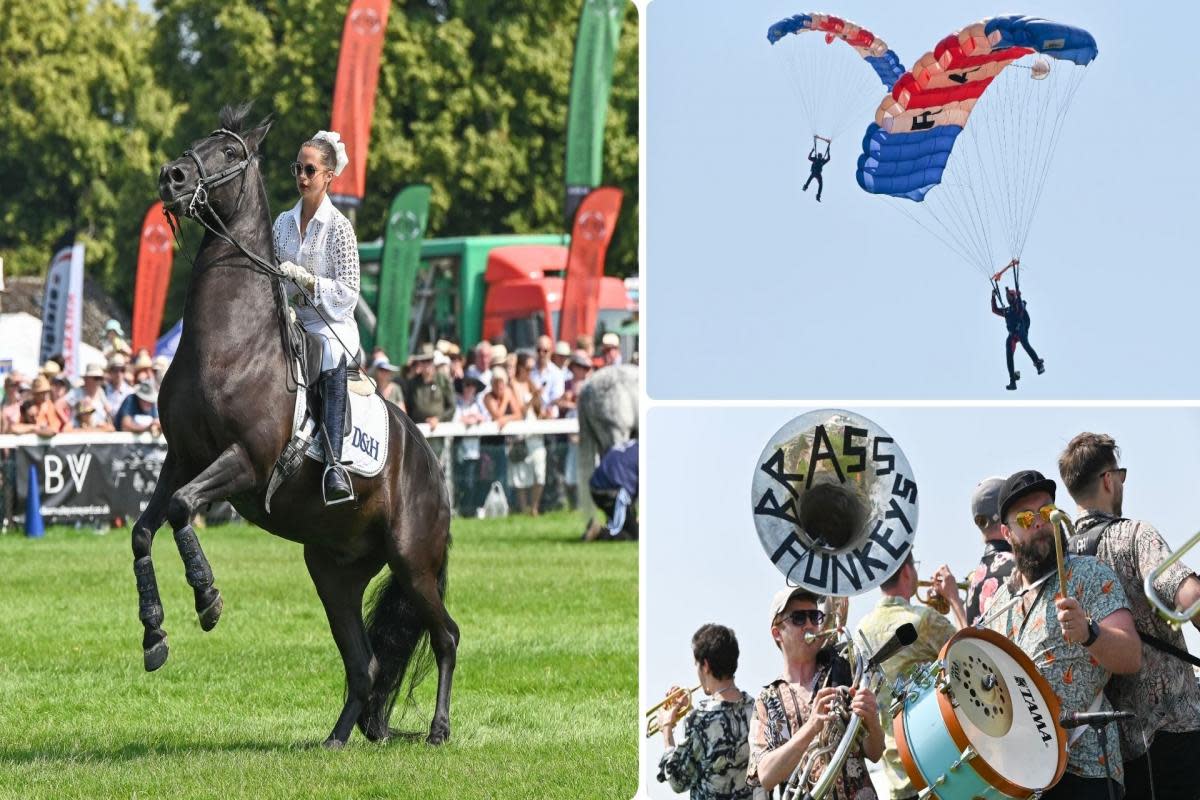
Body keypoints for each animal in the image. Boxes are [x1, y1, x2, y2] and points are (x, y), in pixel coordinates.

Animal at [137, 103, 458, 748]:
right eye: (196, 142)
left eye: (228, 153)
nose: (172, 177)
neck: (228, 347)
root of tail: (432, 467)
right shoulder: (181, 460)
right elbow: (144, 530)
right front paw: (154, 633)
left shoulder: (244, 461)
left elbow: (182, 510)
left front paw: (207, 598)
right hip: (333, 571)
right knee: (366, 663)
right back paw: (338, 738)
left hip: (414, 563)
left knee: (445, 637)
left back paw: (438, 729)